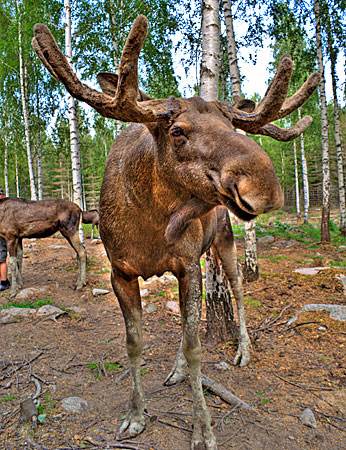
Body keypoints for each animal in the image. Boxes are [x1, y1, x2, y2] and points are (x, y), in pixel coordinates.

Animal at [33, 15, 320, 450]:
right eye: (178, 130)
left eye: (232, 124)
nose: (264, 184)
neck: (152, 224)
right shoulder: (121, 272)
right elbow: (135, 343)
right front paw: (135, 415)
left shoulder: (187, 265)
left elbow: (195, 343)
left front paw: (203, 429)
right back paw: (178, 370)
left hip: (224, 242)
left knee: (237, 289)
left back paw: (242, 351)